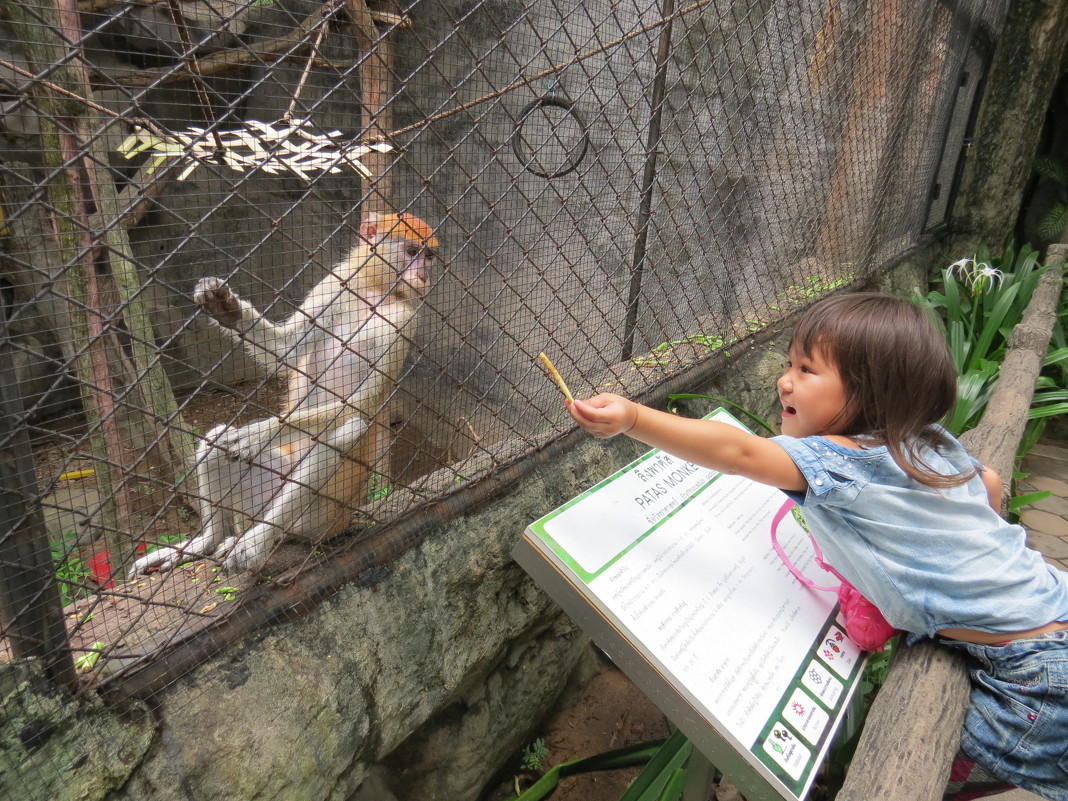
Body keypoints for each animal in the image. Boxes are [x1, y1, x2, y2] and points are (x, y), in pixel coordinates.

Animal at [133, 213, 437, 576]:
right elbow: (286, 351)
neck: (375, 292)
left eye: (429, 256)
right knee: (215, 440)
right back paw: (207, 540)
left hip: (324, 517)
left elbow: (357, 407)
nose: (422, 276)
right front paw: (226, 309)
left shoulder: (404, 322)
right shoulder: (335, 286)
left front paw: (258, 434)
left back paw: (257, 542)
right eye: (411, 252)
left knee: (346, 431)